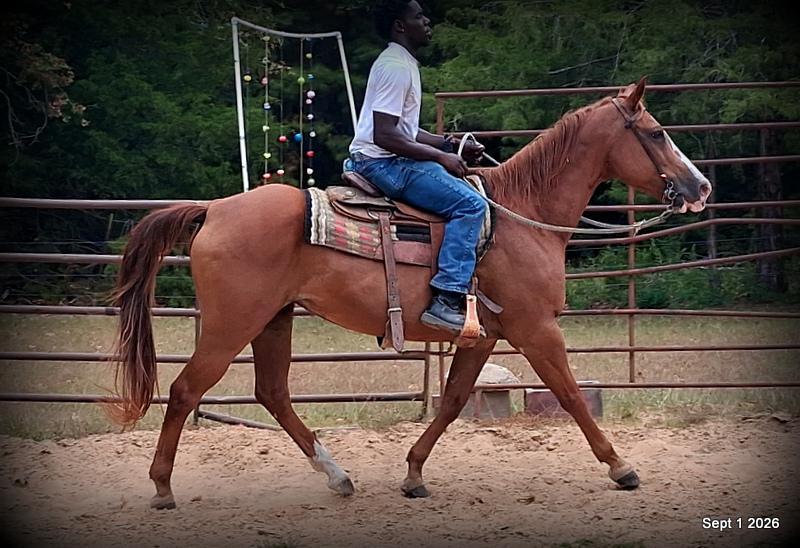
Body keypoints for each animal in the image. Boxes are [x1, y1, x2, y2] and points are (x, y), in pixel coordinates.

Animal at [111, 78, 711, 509]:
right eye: (655, 132)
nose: (701, 186)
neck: (523, 216)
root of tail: (214, 209)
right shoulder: (536, 329)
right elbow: (568, 396)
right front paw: (621, 467)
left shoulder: (482, 338)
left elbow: (451, 401)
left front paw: (414, 473)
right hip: (232, 322)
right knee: (186, 390)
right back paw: (162, 488)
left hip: (274, 319)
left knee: (272, 394)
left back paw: (338, 476)